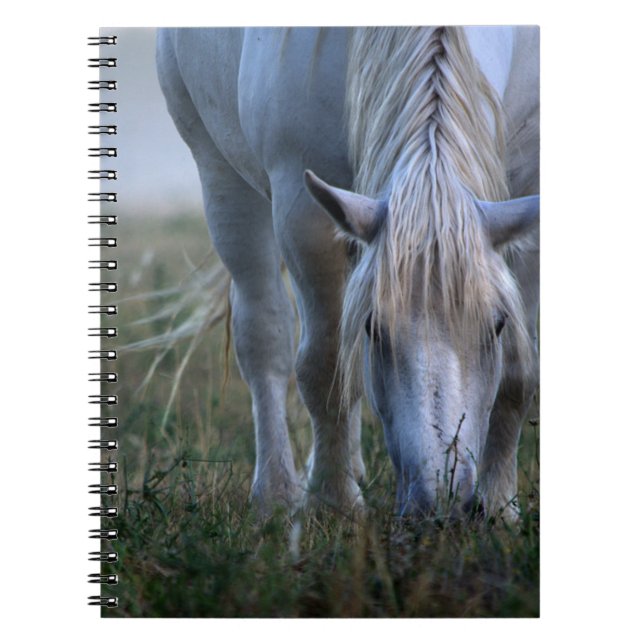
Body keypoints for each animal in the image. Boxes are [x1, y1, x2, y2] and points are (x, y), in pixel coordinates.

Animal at [156, 26, 539, 519]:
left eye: (496, 326)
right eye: (375, 329)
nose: (439, 503)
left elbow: (518, 372)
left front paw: (498, 507)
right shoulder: (303, 211)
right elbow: (325, 364)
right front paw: (333, 503)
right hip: (222, 177)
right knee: (263, 336)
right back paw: (277, 494)